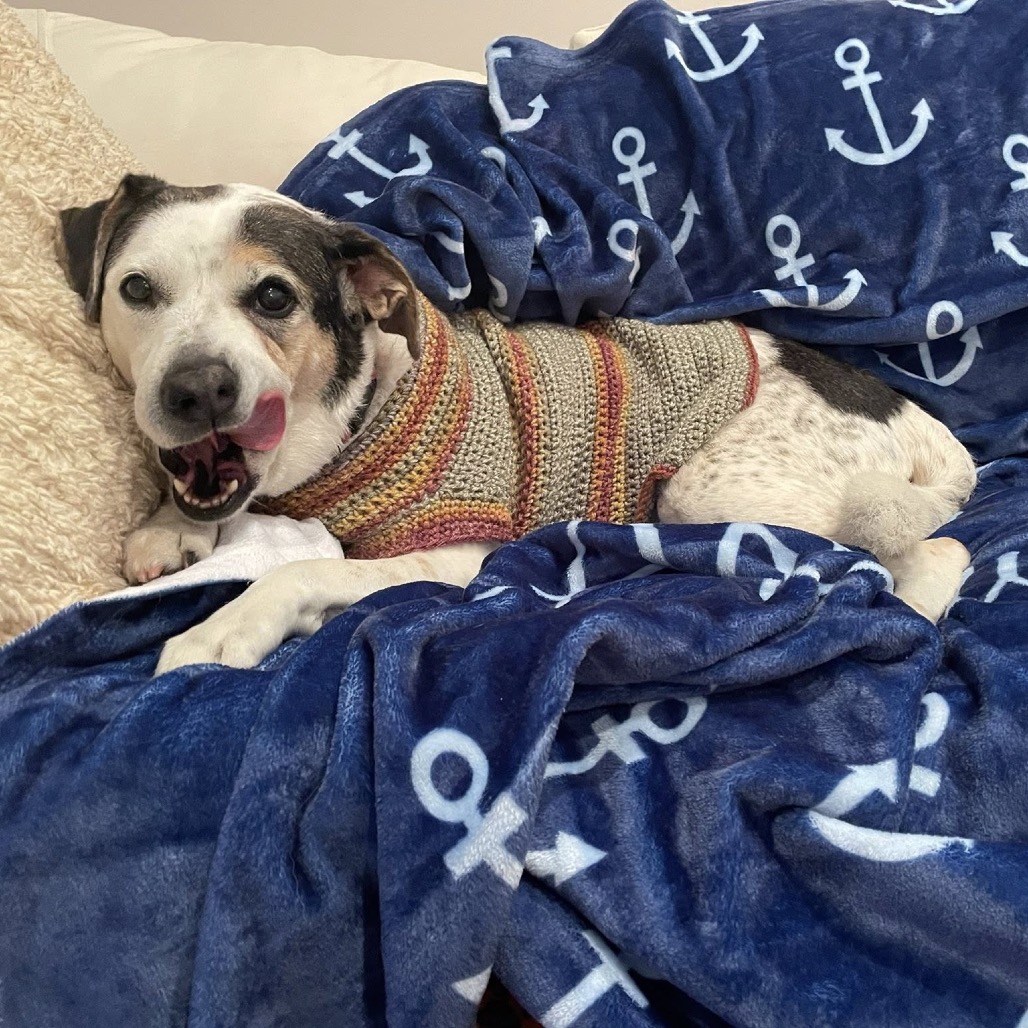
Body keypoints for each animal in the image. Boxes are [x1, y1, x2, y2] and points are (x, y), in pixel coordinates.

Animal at [59, 174, 976, 673]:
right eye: (136, 289)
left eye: (274, 297)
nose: (197, 391)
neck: (355, 420)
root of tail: (909, 413)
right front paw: (170, 527)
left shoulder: (459, 549)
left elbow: (297, 570)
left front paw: (222, 630)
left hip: (714, 492)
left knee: (937, 552)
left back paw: (903, 613)